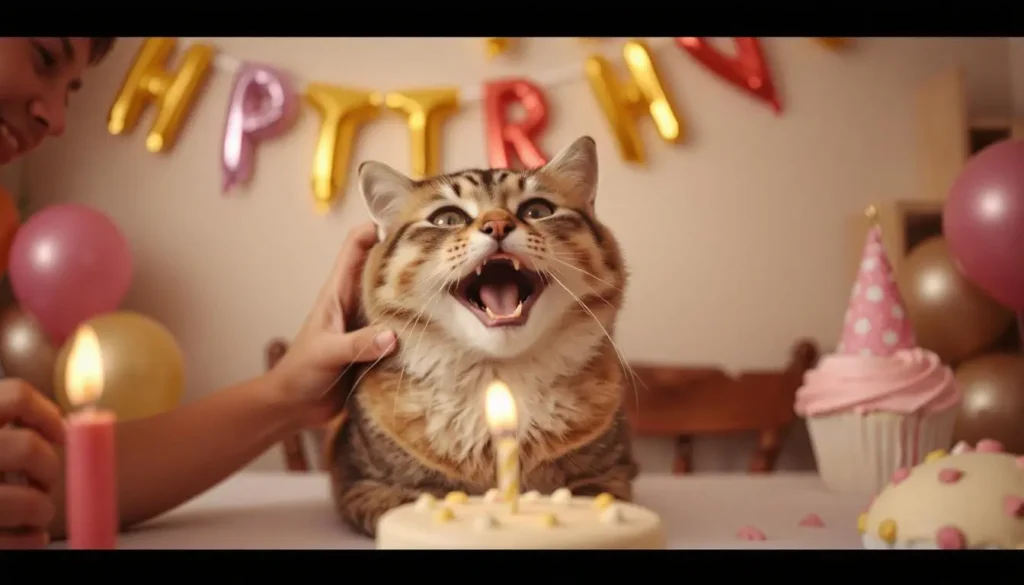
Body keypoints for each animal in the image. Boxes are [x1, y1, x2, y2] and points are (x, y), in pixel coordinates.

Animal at [327, 135, 634, 536]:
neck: (497, 377)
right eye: (448, 219)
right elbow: (403, 500)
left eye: (537, 210)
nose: (498, 225)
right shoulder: (360, 479)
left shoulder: (614, 472)